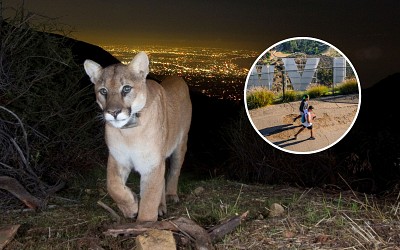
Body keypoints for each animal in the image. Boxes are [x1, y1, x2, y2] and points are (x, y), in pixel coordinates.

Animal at [83, 51, 192, 222]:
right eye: (103, 91)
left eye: (126, 88)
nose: (113, 112)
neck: (129, 132)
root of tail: (177, 77)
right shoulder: (118, 157)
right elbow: (112, 185)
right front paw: (131, 206)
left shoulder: (151, 164)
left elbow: (149, 200)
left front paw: (144, 223)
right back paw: (160, 206)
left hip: (181, 144)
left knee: (174, 170)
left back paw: (170, 195)